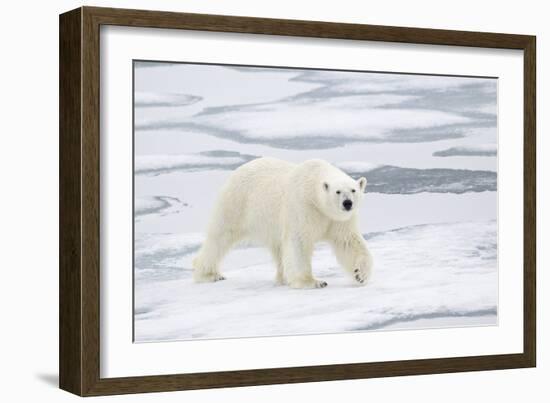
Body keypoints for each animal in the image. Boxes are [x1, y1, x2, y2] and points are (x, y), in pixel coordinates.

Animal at [191, 159, 376, 290]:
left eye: (353, 190)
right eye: (338, 191)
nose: (347, 203)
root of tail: (237, 171)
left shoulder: (338, 219)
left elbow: (348, 241)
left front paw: (360, 274)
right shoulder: (302, 206)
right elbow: (299, 242)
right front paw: (312, 282)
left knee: (279, 248)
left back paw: (284, 278)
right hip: (237, 203)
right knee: (220, 236)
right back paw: (209, 274)